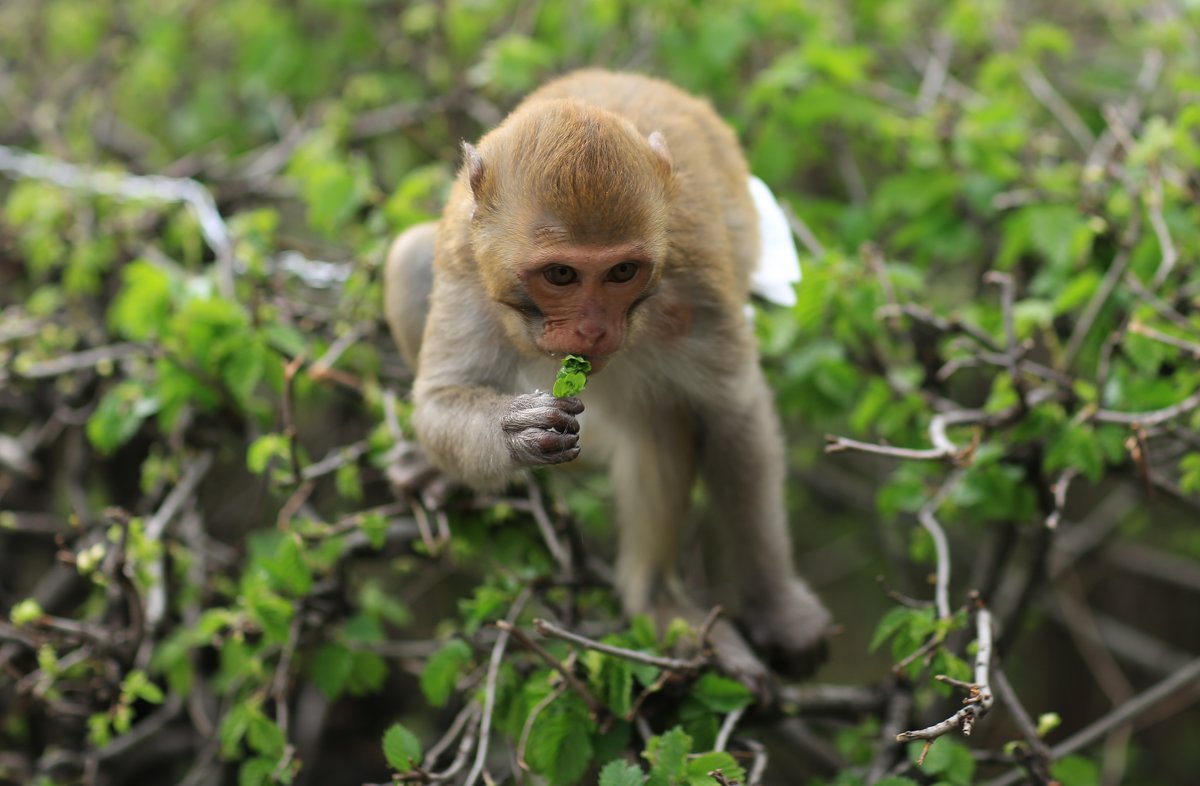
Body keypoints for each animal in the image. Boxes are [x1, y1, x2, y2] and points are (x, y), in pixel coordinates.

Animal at [388, 69, 830, 681]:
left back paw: (660, 605)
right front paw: (515, 430)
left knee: (661, 422)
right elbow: (437, 399)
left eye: (622, 271)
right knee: (409, 255)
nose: (593, 330)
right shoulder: (466, 267)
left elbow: (733, 414)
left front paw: (778, 609)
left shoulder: (698, 288)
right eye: (560, 275)